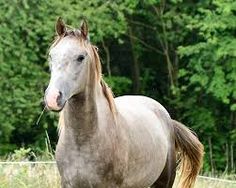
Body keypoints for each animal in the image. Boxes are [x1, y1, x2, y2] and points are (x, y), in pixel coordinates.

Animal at [44, 16, 205, 187]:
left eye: (81, 57)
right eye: (51, 56)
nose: (53, 98)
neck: (83, 142)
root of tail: (167, 118)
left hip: (164, 181)